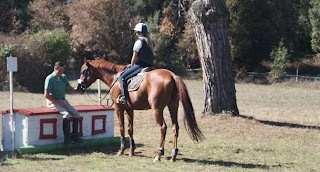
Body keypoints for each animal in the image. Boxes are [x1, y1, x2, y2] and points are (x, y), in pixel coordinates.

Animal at [76, 58, 204, 161]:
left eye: (83, 72)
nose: (79, 88)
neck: (115, 77)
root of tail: (172, 75)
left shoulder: (119, 108)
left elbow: (122, 128)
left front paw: (121, 151)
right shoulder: (130, 109)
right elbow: (130, 129)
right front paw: (132, 151)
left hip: (157, 110)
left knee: (163, 127)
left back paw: (159, 154)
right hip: (173, 107)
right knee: (175, 127)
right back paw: (173, 155)